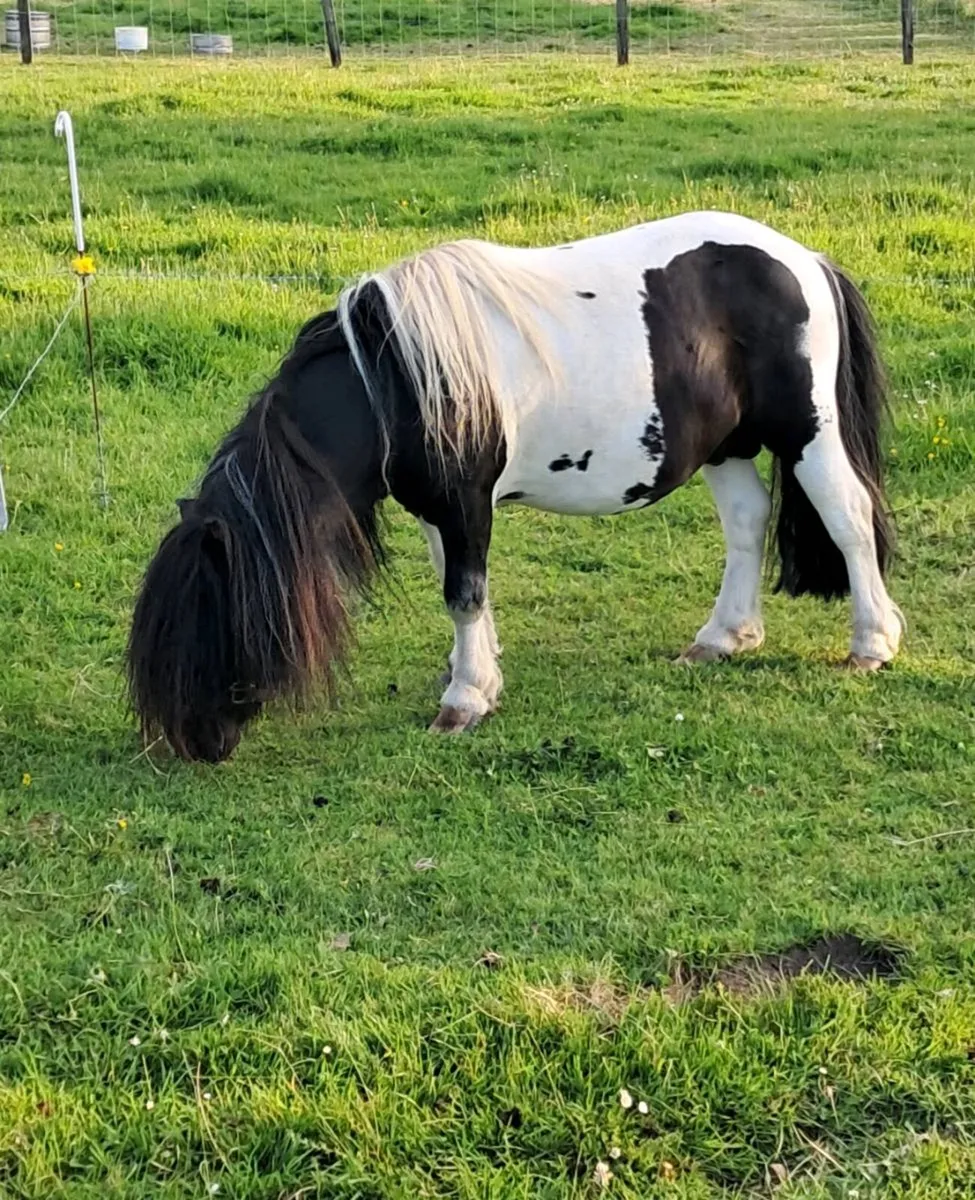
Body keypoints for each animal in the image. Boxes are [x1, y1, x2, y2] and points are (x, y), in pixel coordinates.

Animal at [127, 210, 902, 763]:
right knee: (746, 522)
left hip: (806, 432)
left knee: (848, 517)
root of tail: (805, 260)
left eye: (210, 617)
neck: (391, 378)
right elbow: (465, 589)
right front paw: (480, 674)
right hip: (727, 446)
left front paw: (464, 699)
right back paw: (722, 637)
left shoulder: (465, 501)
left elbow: (464, 594)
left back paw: (872, 644)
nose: (197, 744)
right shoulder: (439, 511)